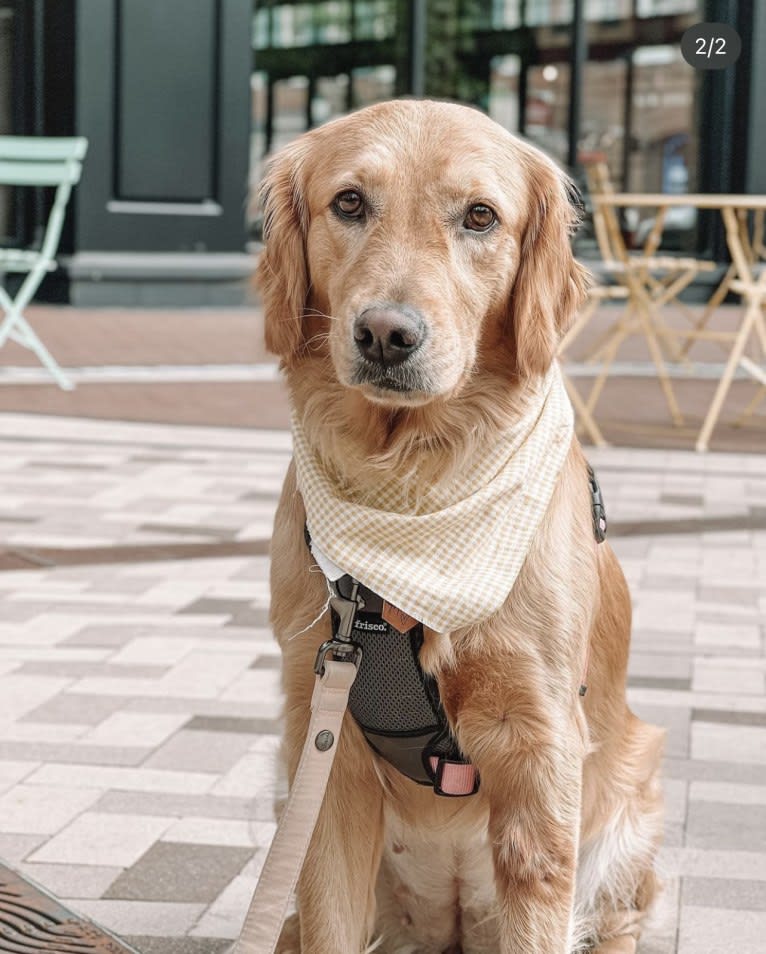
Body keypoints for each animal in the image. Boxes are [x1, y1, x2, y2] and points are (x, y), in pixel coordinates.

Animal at [260, 100, 664, 948]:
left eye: (480, 216)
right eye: (350, 202)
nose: (386, 333)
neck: (415, 478)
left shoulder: (541, 744)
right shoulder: (322, 737)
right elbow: (329, 915)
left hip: (629, 806)